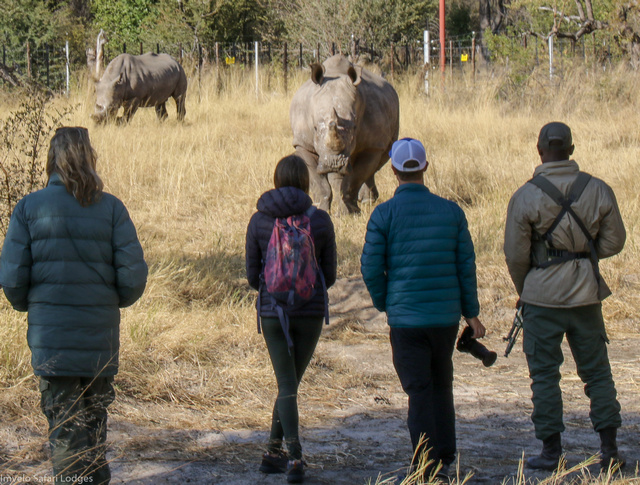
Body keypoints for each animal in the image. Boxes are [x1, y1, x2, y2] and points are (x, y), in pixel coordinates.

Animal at [290, 55, 399, 214]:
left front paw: (349, 213)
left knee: (377, 163)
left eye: (354, 127)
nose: (334, 163)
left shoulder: (373, 146)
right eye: (315, 128)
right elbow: (319, 180)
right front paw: (320, 208)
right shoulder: (302, 143)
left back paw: (366, 201)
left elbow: (354, 180)